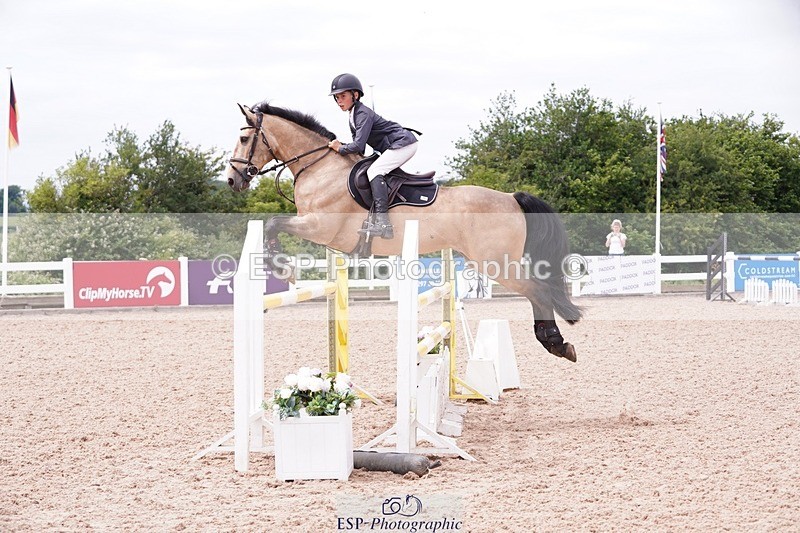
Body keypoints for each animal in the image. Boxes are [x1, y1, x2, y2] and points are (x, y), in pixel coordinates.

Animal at [227, 103, 582, 362]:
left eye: (244, 139)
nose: (232, 180)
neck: (319, 167)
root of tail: (511, 197)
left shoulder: (320, 226)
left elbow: (274, 224)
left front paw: (282, 268)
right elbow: (273, 226)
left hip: (497, 263)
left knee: (539, 290)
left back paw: (557, 344)